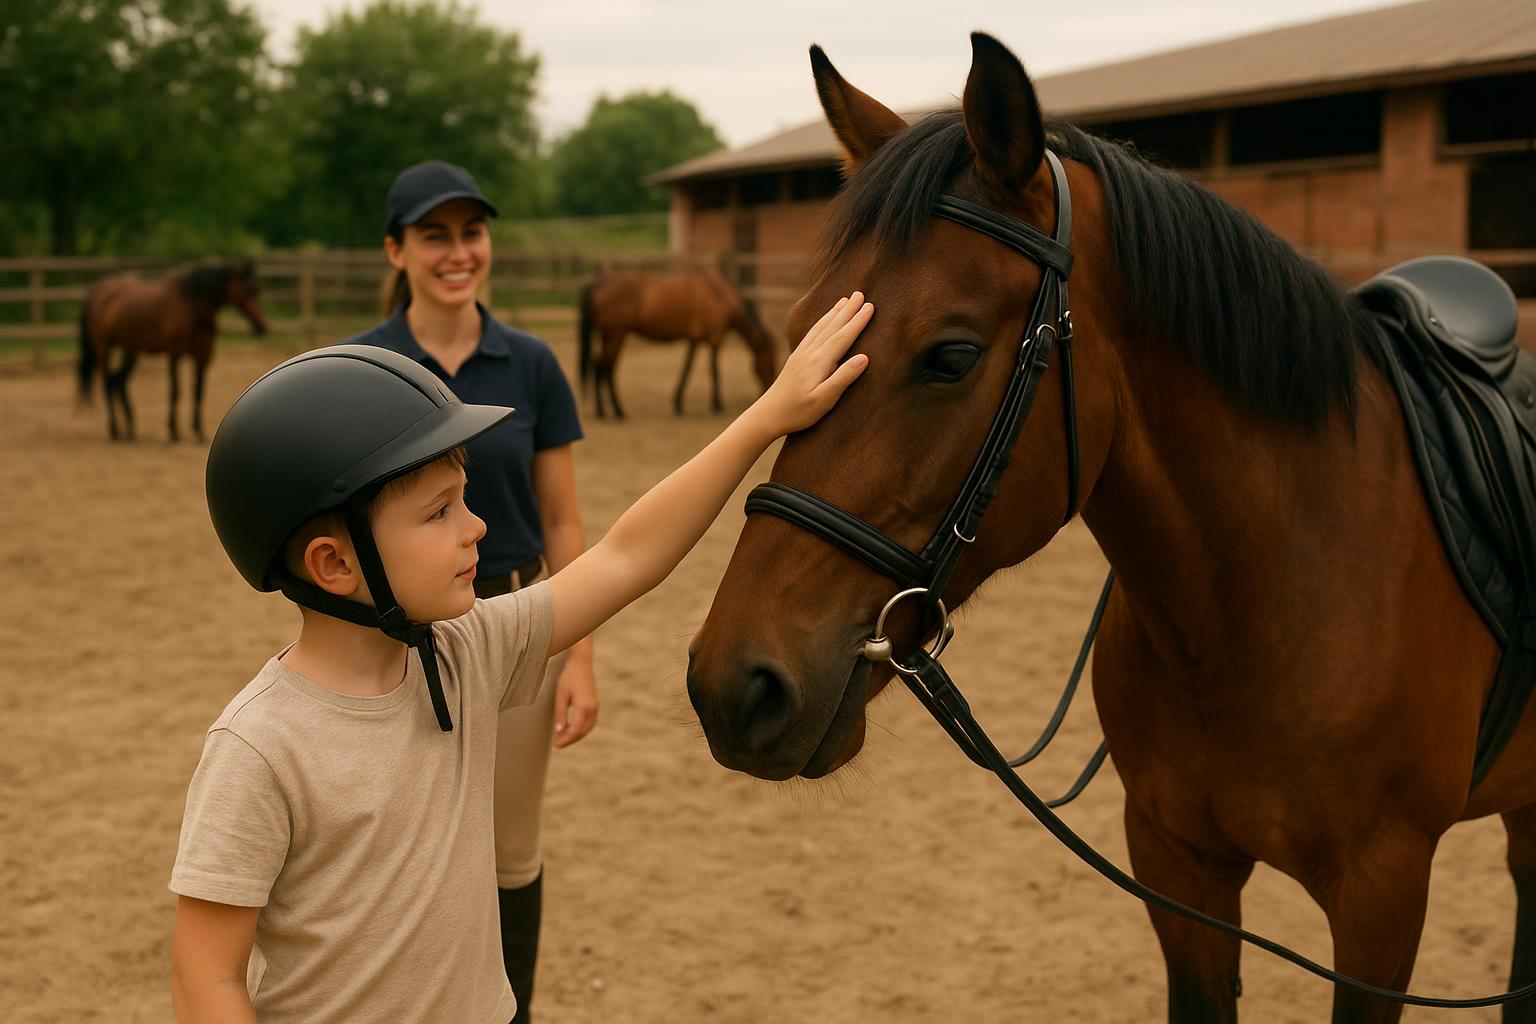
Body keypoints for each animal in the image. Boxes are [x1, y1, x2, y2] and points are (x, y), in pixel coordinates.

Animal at [78, 259, 268, 442]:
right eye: (249, 290)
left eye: (258, 290)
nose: (262, 326)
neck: (192, 306)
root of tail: (97, 294)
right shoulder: (174, 355)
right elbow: (176, 391)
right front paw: (173, 430)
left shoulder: (202, 356)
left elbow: (198, 391)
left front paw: (198, 431)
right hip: (104, 348)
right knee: (107, 383)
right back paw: (115, 430)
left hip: (131, 351)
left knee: (118, 382)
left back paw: (130, 428)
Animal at [577, 269, 777, 419]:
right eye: (770, 361)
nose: (767, 388)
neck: (720, 296)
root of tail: (600, 282)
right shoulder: (715, 339)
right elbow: (714, 370)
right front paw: (717, 405)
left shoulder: (694, 340)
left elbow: (686, 369)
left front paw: (678, 403)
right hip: (616, 336)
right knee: (604, 369)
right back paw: (614, 412)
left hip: (610, 336)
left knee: (602, 368)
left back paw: (607, 411)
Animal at [684, 35, 1536, 1024]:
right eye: (800, 333)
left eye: (951, 355)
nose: (734, 686)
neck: (1267, 605)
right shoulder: (1176, 866)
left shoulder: (1381, 902)